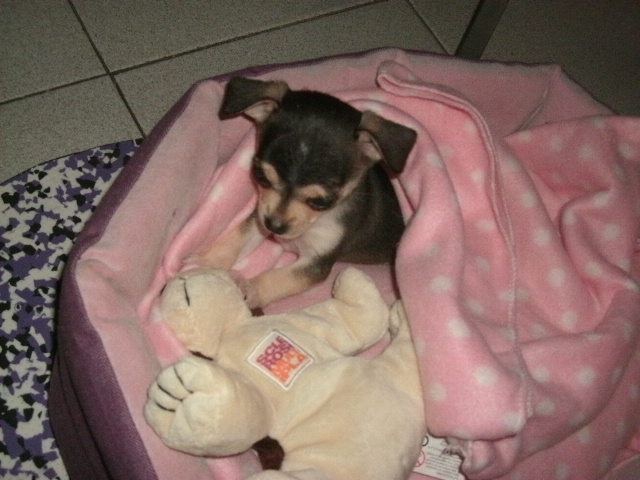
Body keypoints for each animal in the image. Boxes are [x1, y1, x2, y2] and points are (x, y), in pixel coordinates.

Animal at [188, 77, 417, 309]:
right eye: (260, 177)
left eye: (321, 202)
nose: (274, 226)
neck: (315, 223)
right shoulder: (259, 216)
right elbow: (237, 239)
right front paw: (208, 264)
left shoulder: (316, 263)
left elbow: (277, 278)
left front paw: (249, 289)